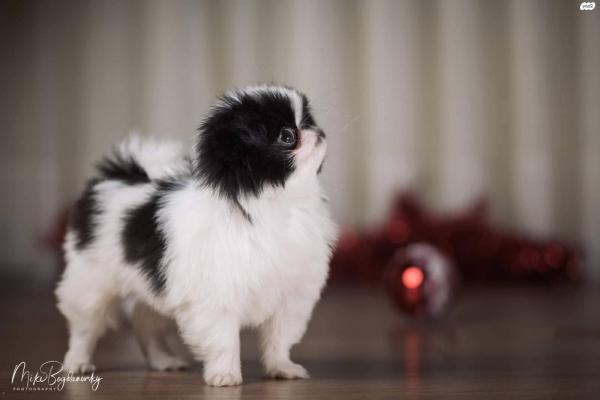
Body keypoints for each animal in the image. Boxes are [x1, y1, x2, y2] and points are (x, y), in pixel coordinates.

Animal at [55, 85, 338, 386]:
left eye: (307, 121)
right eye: (287, 136)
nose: (317, 131)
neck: (274, 203)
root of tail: (118, 177)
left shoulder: (291, 296)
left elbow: (279, 339)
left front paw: (282, 368)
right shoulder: (216, 297)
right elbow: (225, 340)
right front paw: (225, 375)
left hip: (154, 290)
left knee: (147, 327)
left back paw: (164, 361)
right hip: (92, 283)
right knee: (85, 326)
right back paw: (76, 363)